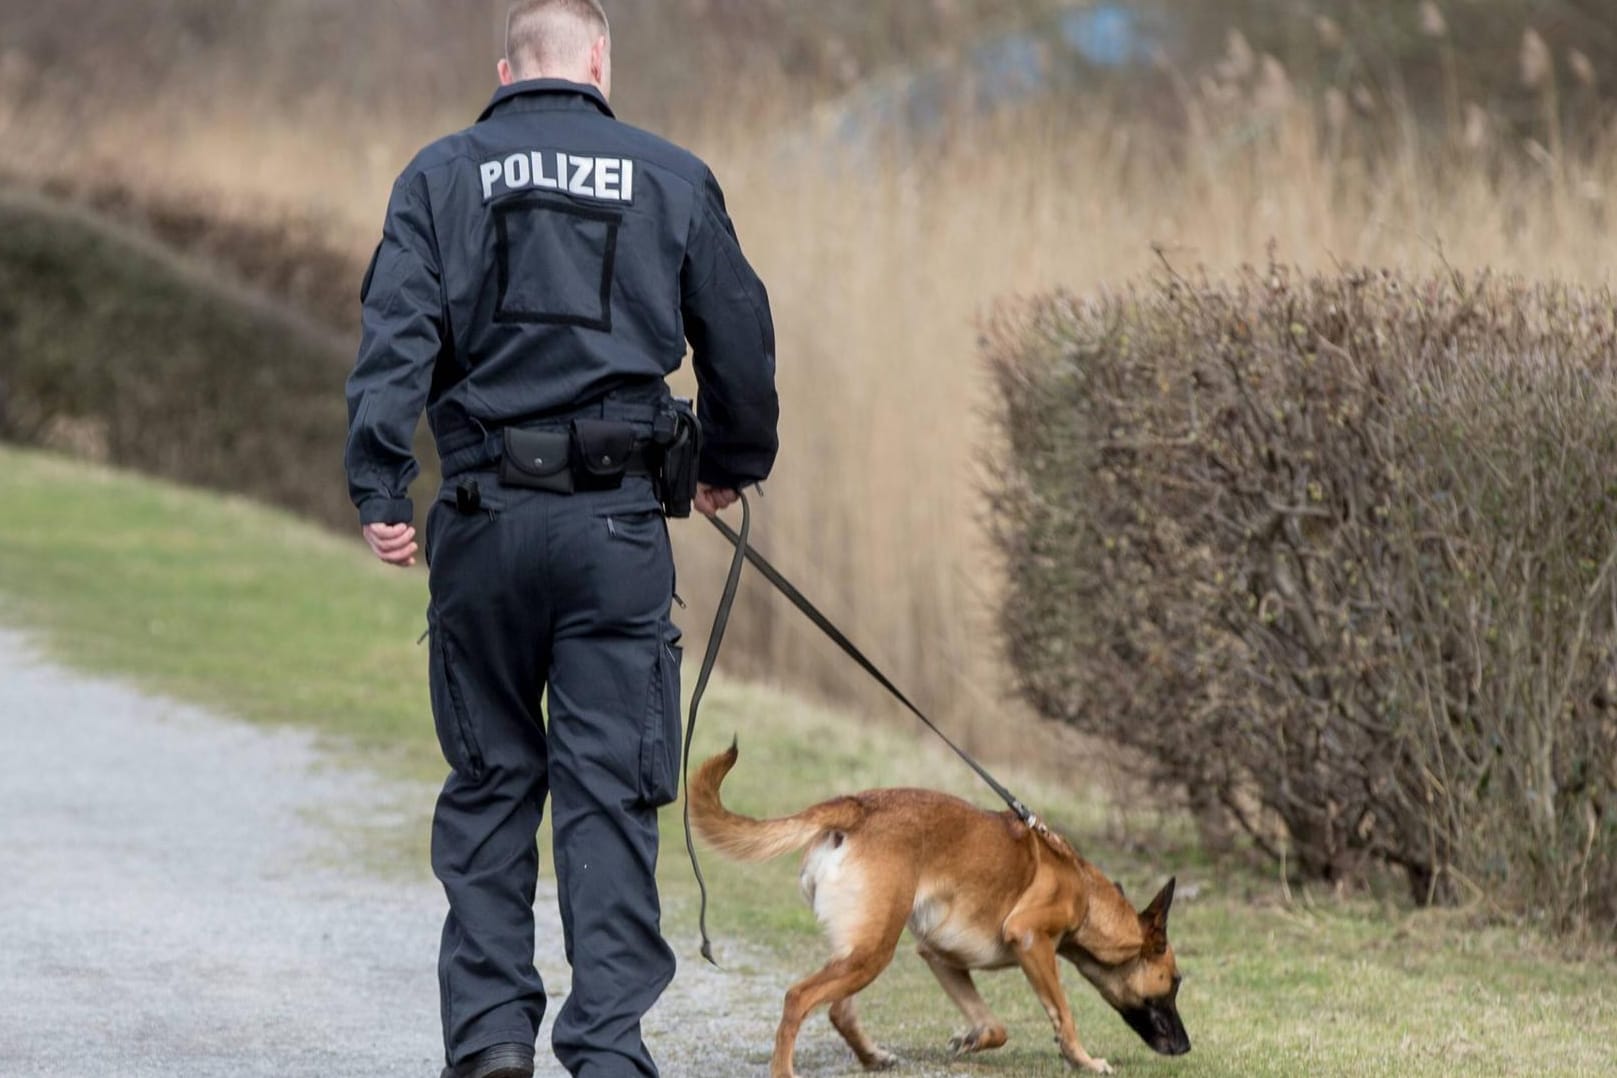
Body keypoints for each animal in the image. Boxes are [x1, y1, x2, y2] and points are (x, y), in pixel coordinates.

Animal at [688, 746, 1196, 1073]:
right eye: (1173, 983)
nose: (1187, 1046)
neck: (1087, 896)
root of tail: (856, 808)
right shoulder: (1031, 941)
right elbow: (1063, 1013)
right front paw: (1084, 1060)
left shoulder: (939, 956)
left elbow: (995, 1027)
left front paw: (971, 1039)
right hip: (872, 952)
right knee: (798, 999)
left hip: (861, 948)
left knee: (838, 1010)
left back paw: (873, 1057)